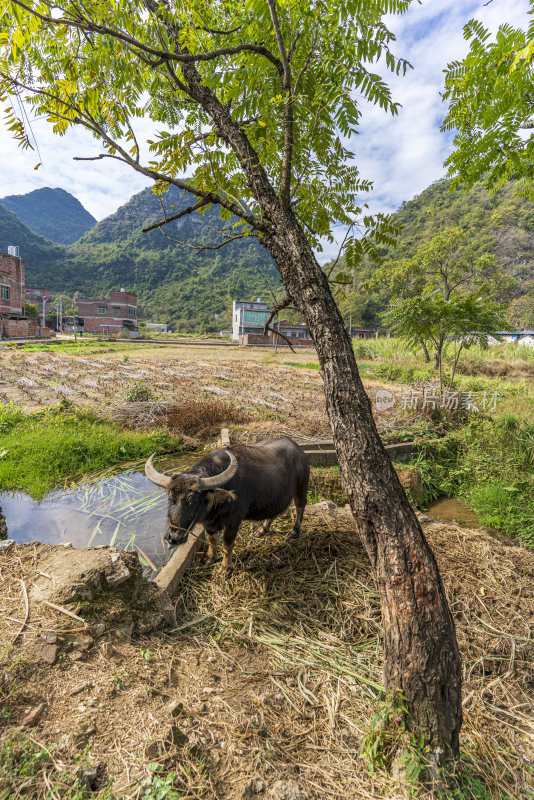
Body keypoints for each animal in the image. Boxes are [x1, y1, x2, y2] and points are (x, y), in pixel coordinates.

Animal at [146, 438, 310, 576]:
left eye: (193, 501)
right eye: (171, 498)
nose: (174, 538)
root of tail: (299, 450)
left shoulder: (233, 522)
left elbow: (227, 544)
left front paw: (225, 568)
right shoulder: (209, 524)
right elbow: (211, 540)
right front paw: (210, 558)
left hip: (301, 487)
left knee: (300, 507)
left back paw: (294, 532)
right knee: (273, 511)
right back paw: (262, 530)